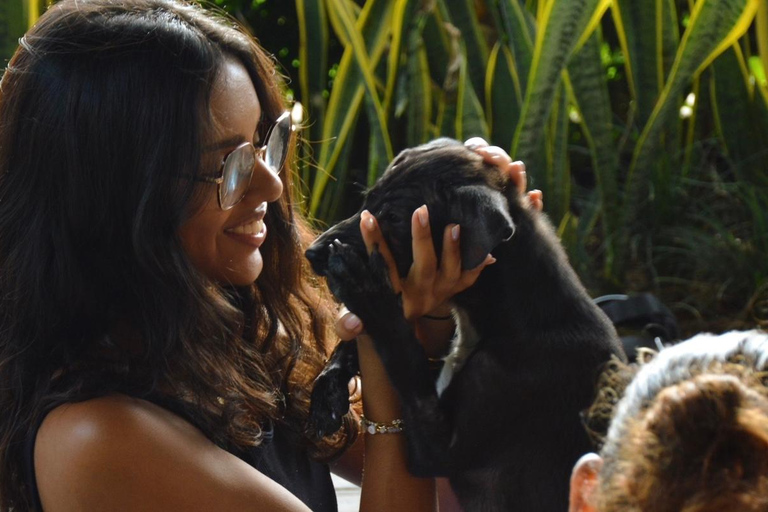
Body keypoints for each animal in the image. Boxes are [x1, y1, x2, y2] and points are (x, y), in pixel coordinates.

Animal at [304, 138, 624, 510]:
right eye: (367, 202)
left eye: (394, 217)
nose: (311, 253)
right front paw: (327, 393)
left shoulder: (438, 450)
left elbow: (400, 347)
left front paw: (364, 288)